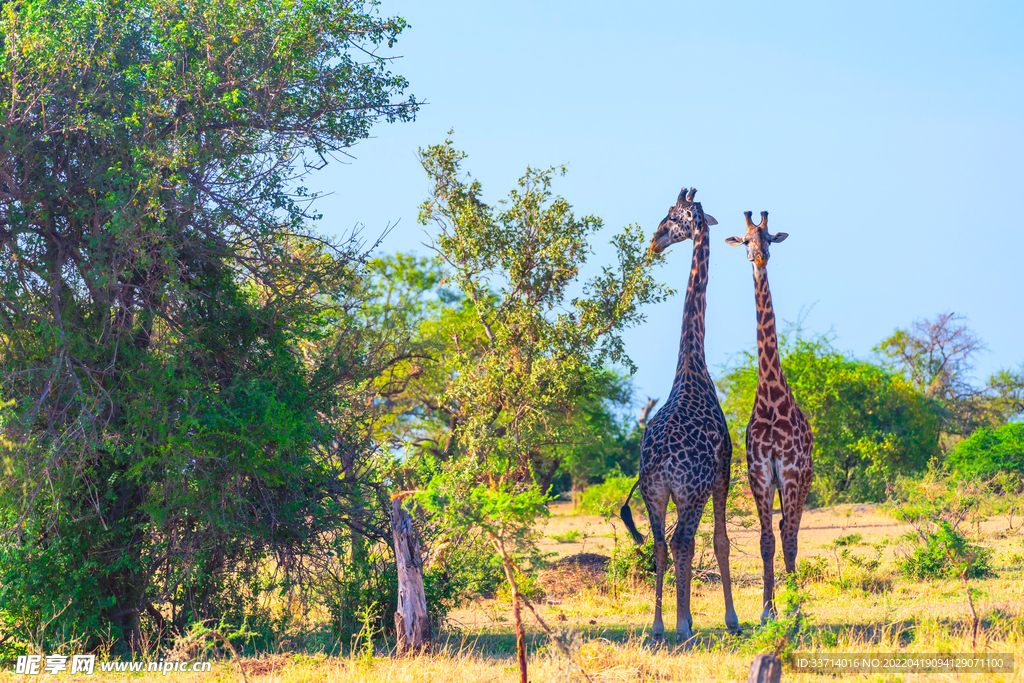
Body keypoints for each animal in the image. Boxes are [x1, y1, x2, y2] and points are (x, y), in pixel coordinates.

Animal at [618, 185, 741, 643]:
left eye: (672, 216)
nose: (655, 240)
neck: (691, 364)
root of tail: (665, 464)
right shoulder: (724, 469)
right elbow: (721, 540)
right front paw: (731, 618)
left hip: (653, 492)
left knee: (658, 543)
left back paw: (657, 625)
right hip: (689, 491)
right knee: (682, 541)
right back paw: (684, 624)